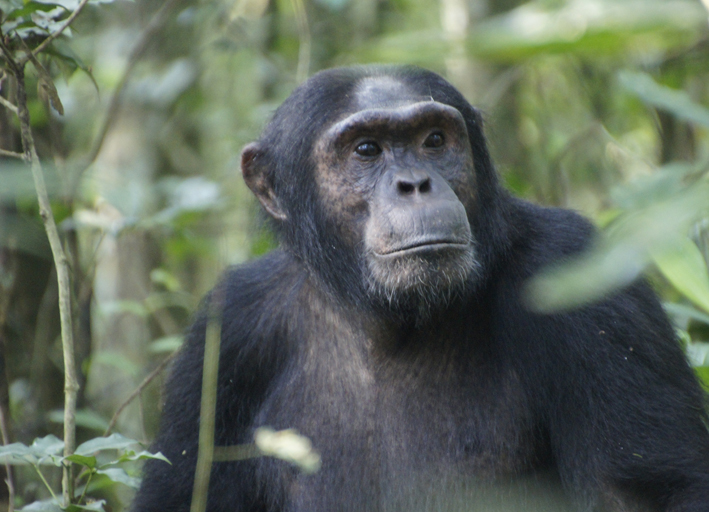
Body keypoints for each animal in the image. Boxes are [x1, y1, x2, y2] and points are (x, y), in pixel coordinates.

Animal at [131, 65, 708, 512]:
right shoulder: (225, 335)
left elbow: (649, 493)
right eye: (366, 149)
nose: (415, 184)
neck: (387, 320)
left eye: (434, 140)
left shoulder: (583, 281)